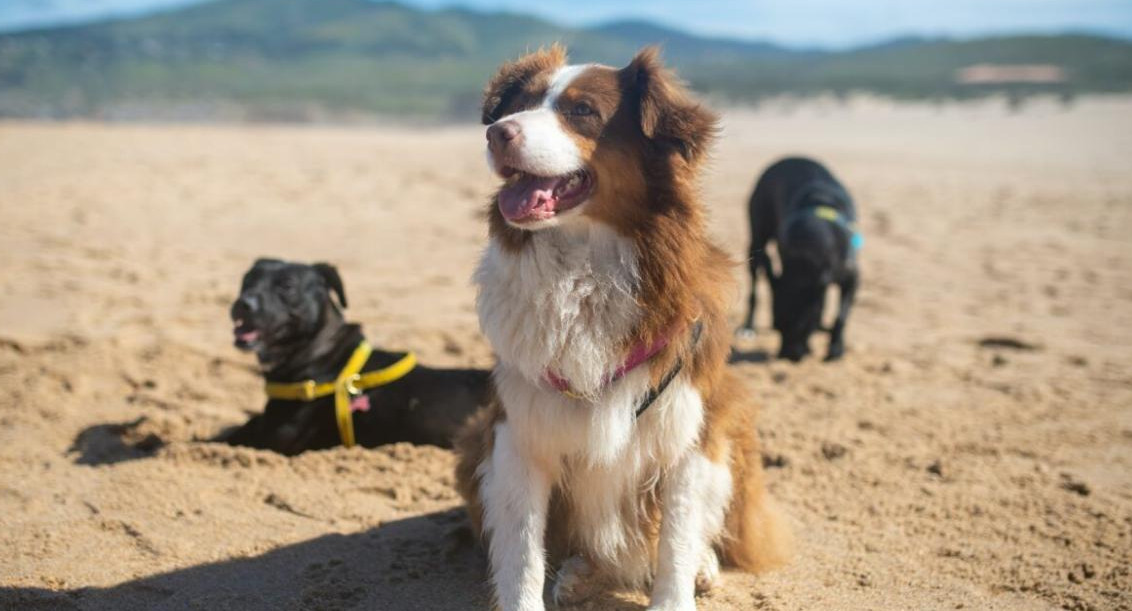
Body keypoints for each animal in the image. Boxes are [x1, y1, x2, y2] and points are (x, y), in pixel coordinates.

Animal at [450, 46, 787, 611]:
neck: (585, 266)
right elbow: (522, 551)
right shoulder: (517, 432)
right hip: (474, 440)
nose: (497, 133)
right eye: (518, 105)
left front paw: (677, 591)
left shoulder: (688, 431)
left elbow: (676, 539)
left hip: (730, 426)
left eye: (582, 111)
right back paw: (579, 573)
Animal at [738, 156, 860, 362]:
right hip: (756, 239)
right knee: (754, 289)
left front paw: (836, 349)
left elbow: (840, 316)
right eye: (777, 327)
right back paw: (748, 327)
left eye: (802, 328)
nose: (786, 357)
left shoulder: (852, 278)